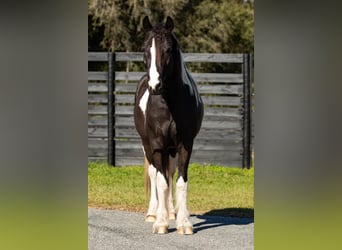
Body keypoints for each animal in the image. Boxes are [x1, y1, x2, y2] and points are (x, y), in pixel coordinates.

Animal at [134, 15, 203, 234]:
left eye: (168, 49)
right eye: (145, 49)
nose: (155, 85)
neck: (169, 103)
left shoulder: (185, 145)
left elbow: (180, 182)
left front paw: (184, 222)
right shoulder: (157, 145)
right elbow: (161, 183)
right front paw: (161, 223)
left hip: (171, 149)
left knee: (169, 172)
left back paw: (172, 212)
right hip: (147, 146)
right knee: (155, 174)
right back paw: (153, 213)